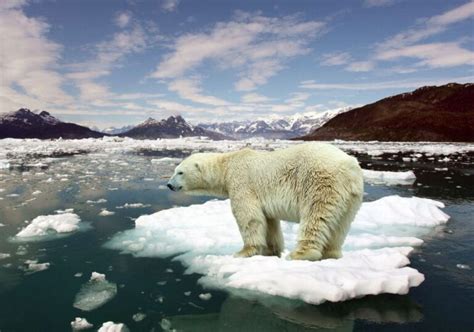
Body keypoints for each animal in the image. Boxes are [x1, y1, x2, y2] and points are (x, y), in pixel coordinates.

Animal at [167, 143, 362, 262]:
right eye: (175, 170)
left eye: (180, 172)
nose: (169, 185)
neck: (227, 165)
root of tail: (350, 167)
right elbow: (269, 221)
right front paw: (271, 251)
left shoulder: (242, 183)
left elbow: (249, 217)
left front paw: (243, 252)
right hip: (351, 197)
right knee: (340, 225)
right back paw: (331, 254)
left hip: (320, 182)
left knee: (315, 216)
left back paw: (300, 254)